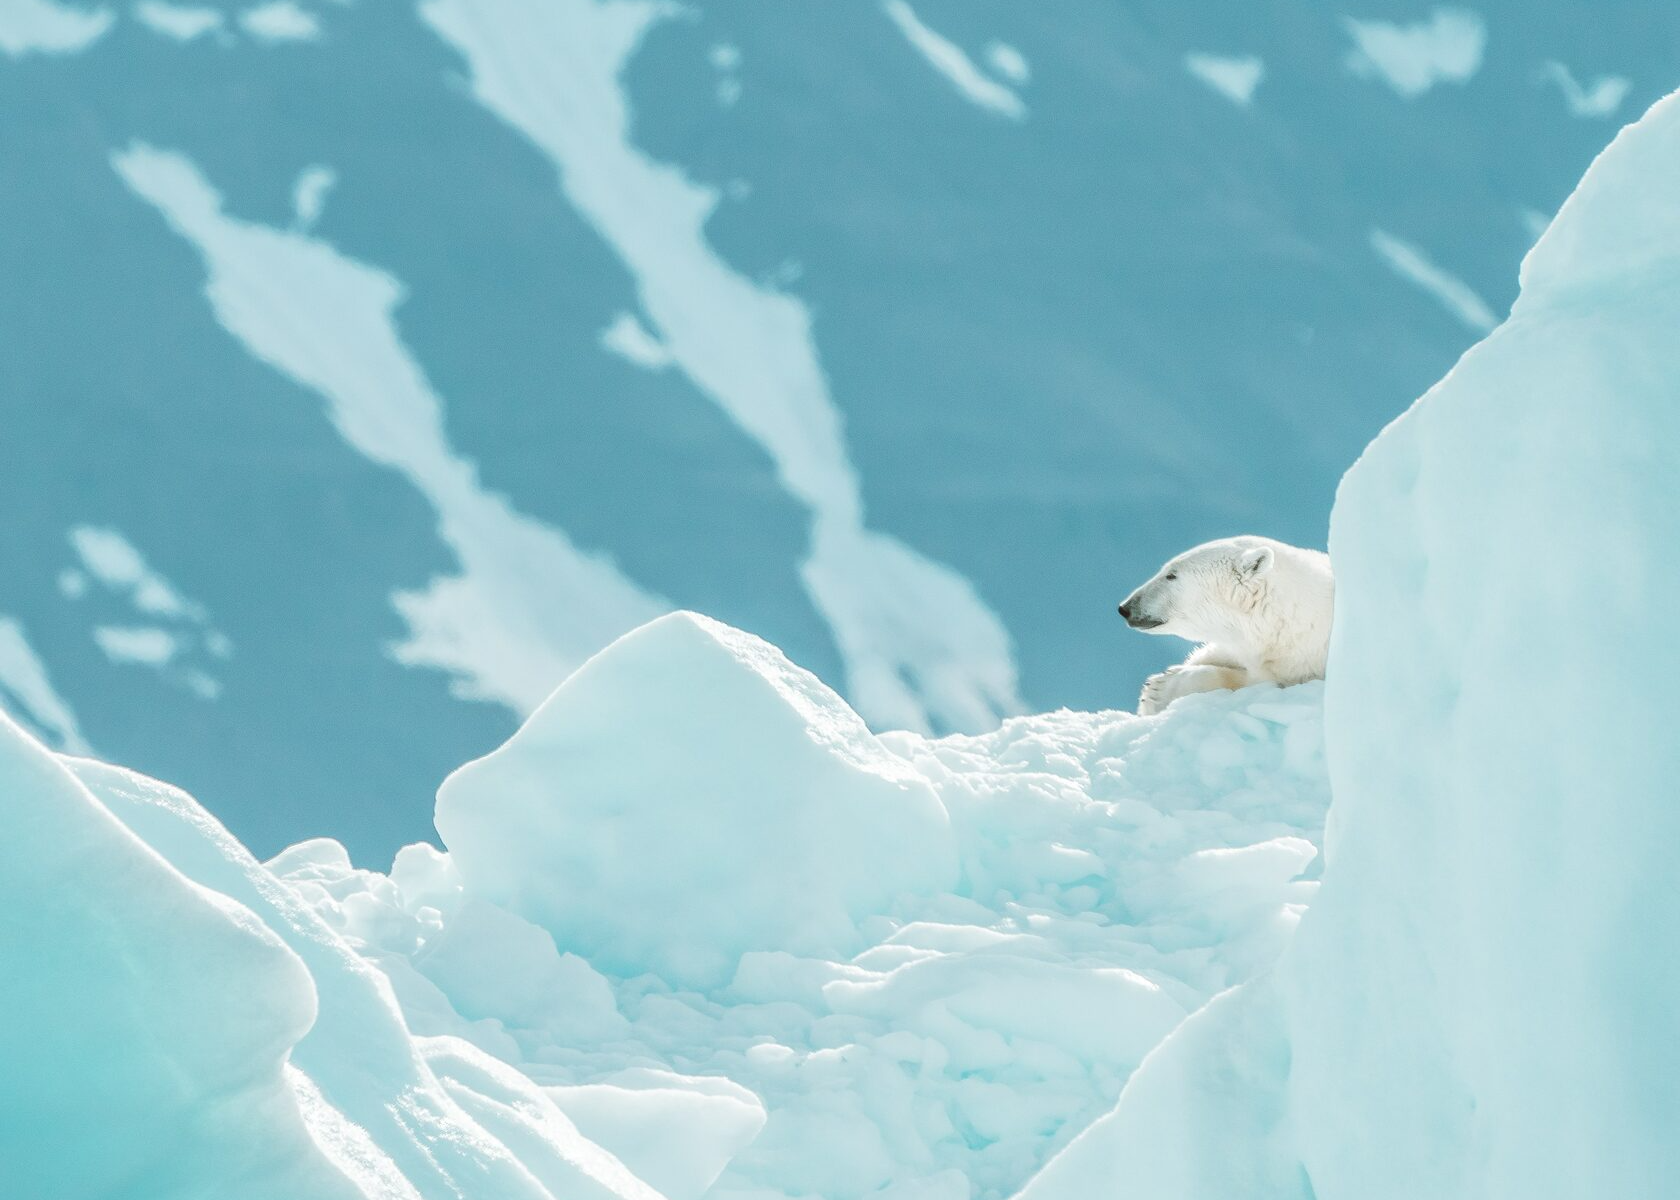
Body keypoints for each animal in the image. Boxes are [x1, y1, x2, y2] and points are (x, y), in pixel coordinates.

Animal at [1115, 534, 1337, 719]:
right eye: (1166, 570)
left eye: (1172, 575)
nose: (1125, 608)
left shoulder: (1304, 659)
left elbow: (1258, 680)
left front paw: (1158, 690)